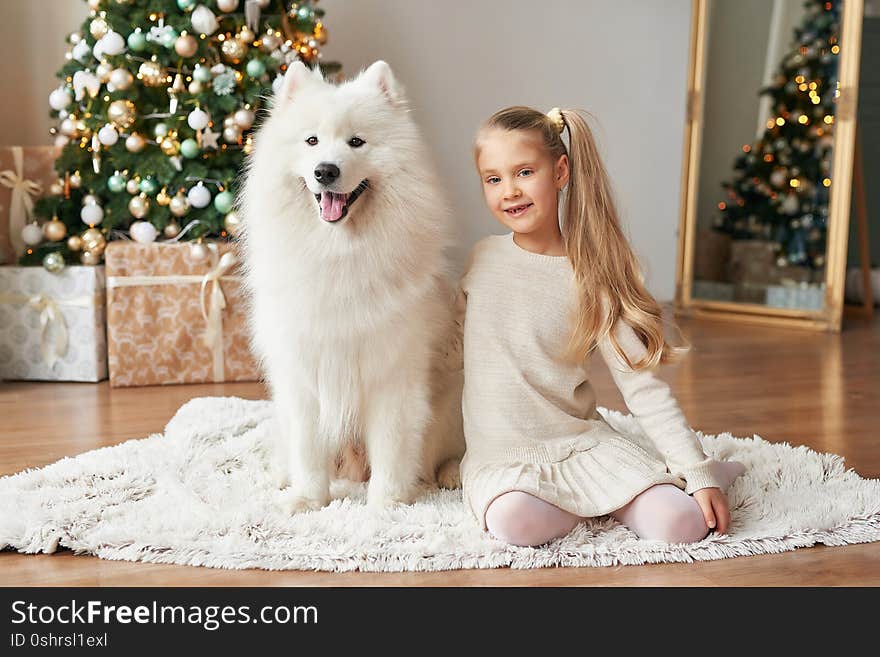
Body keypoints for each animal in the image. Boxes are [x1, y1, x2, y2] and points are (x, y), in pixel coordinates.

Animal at [237, 60, 464, 512]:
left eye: (357, 142)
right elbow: (308, 448)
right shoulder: (303, 373)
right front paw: (308, 501)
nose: (326, 170)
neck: (338, 253)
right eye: (311, 141)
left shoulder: (393, 374)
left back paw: (450, 474)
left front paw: (385, 506)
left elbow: (392, 447)